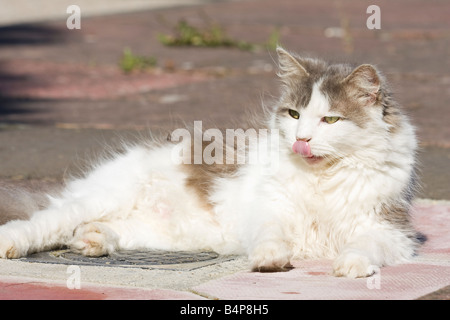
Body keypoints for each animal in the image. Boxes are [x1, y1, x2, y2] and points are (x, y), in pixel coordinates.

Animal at [0, 47, 422, 278]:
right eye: (294, 115)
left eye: (331, 120)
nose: (301, 139)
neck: (323, 177)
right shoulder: (269, 210)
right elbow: (271, 236)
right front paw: (270, 260)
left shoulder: (388, 228)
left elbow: (363, 246)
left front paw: (350, 265)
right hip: (101, 196)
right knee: (40, 223)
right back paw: (14, 242)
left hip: (162, 234)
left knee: (104, 230)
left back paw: (92, 239)